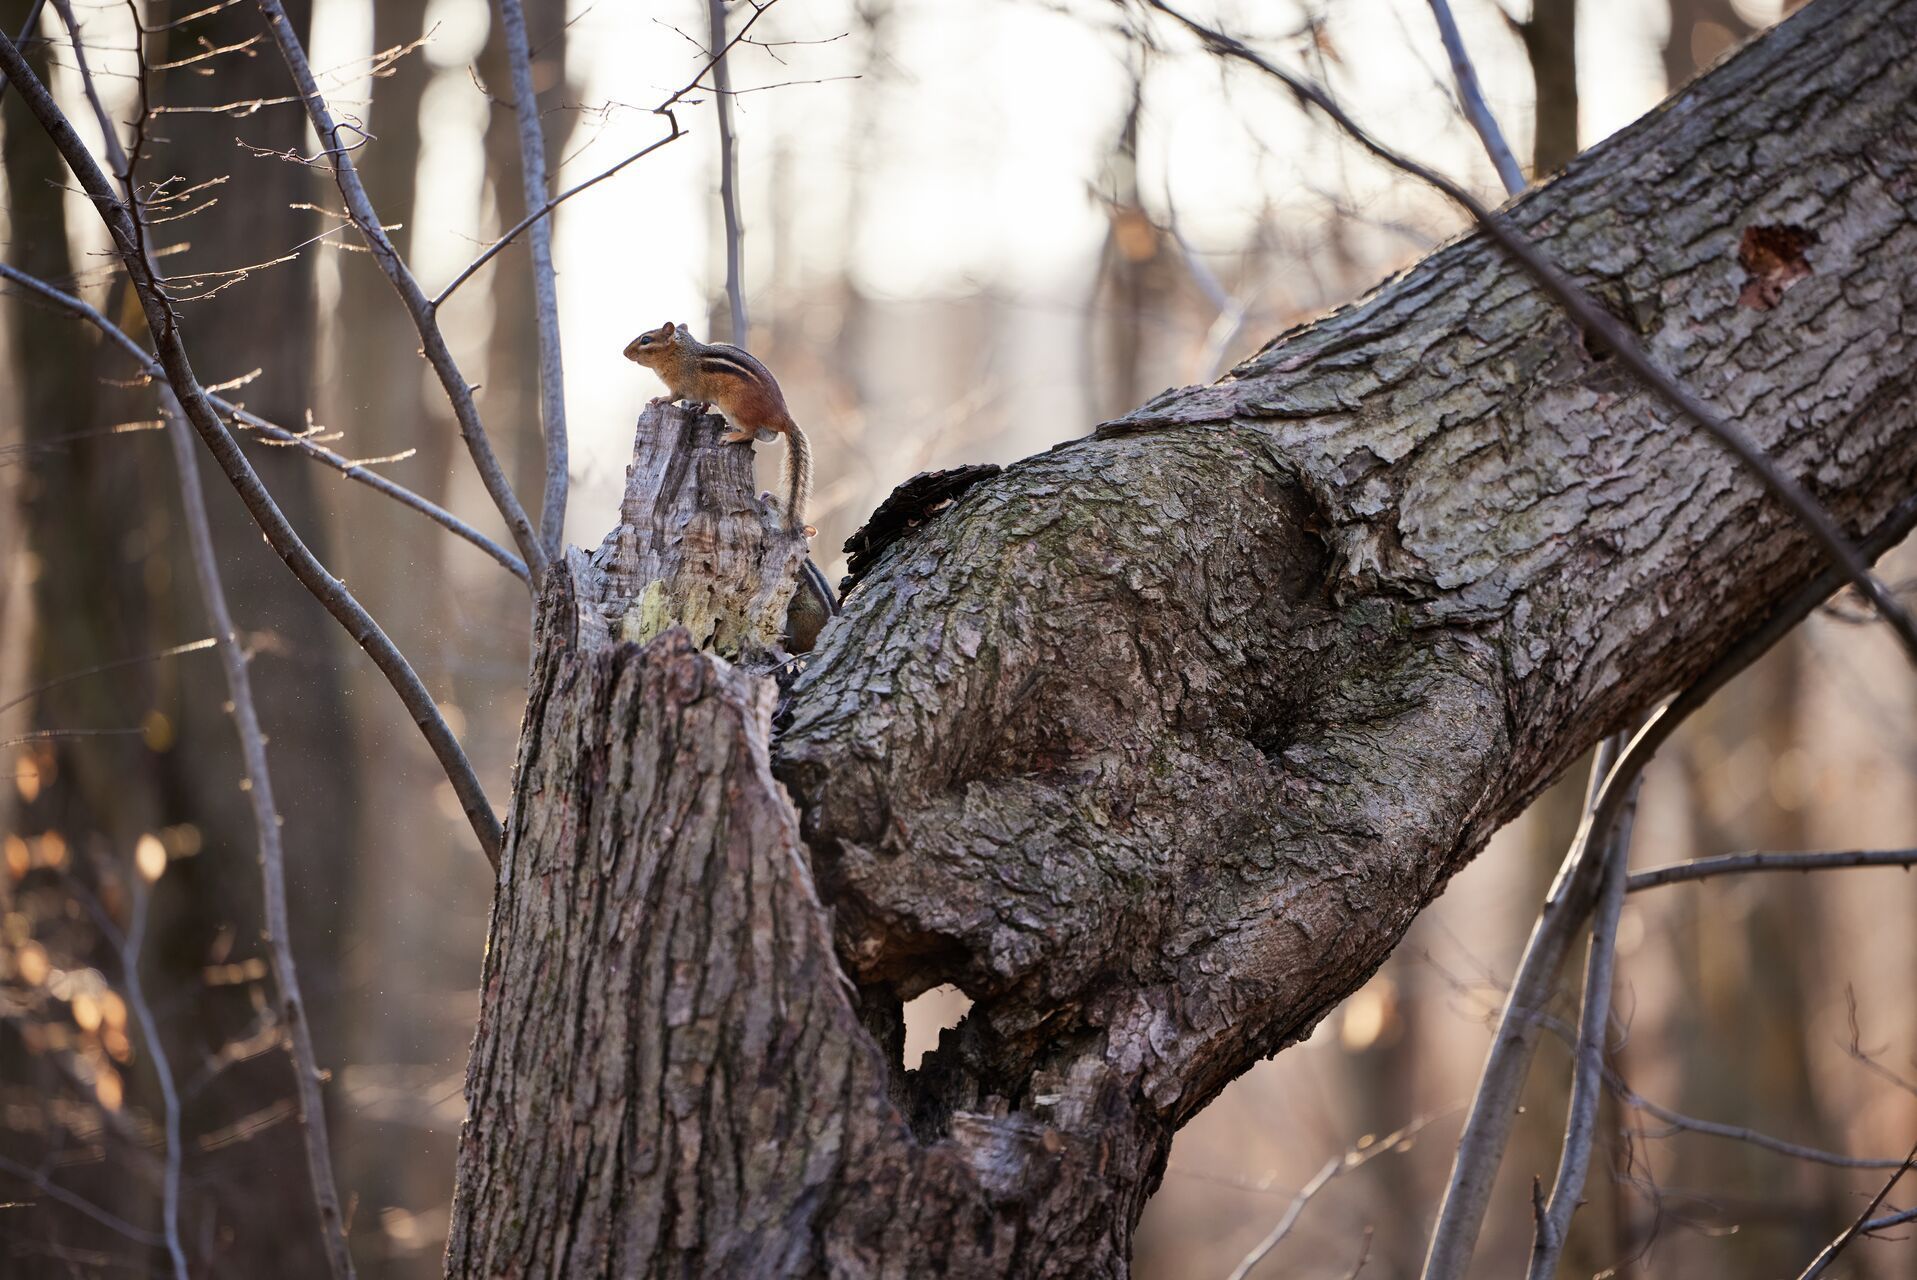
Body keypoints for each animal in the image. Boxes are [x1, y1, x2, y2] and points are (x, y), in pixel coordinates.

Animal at [624, 321, 813, 537]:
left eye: (645, 339)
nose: (624, 352)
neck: (681, 353)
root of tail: (783, 418)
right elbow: (703, 403)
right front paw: (698, 409)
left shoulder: (681, 386)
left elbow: (673, 396)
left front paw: (661, 400)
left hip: (734, 406)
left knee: (750, 432)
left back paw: (731, 436)